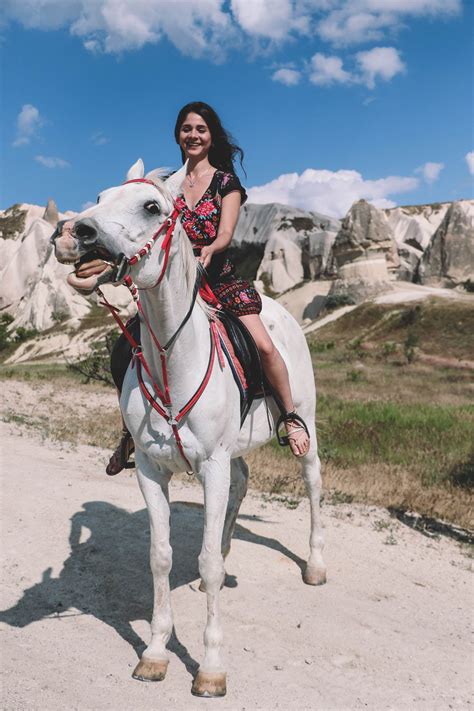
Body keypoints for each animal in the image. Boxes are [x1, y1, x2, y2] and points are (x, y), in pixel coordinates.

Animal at [52, 159, 326, 700]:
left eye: (151, 207)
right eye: (101, 196)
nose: (74, 232)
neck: (173, 363)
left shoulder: (211, 465)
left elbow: (208, 563)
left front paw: (211, 667)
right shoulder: (151, 470)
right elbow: (161, 556)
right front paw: (156, 653)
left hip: (301, 427)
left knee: (312, 481)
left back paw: (314, 565)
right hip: (233, 454)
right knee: (242, 482)